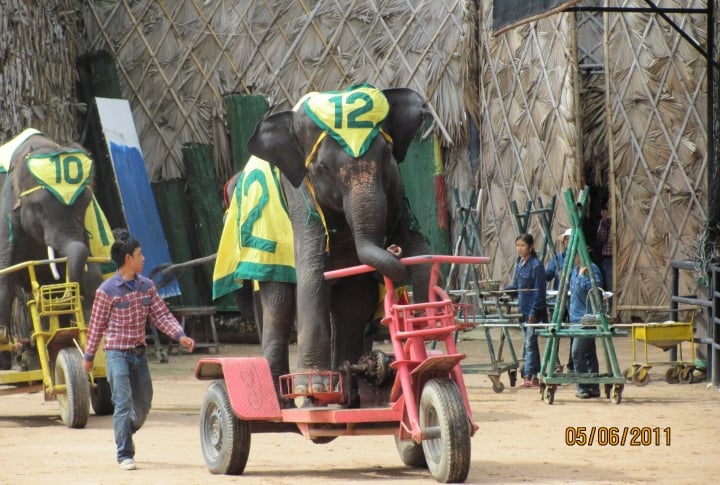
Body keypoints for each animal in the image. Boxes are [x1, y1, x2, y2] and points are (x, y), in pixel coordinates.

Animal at [211, 84, 430, 400]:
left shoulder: (399, 193)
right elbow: (311, 271)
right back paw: (283, 395)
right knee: (278, 305)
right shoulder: (300, 195)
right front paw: (311, 387)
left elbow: (420, 250)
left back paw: (346, 386)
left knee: (350, 305)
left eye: (388, 154)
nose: (393, 249)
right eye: (322, 168)